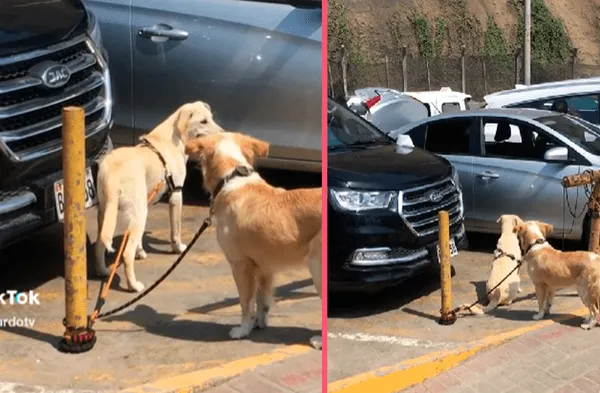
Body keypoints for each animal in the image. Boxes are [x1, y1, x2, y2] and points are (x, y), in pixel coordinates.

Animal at [95, 101, 224, 290]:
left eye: (211, 118)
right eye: (203, 121)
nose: (223, 134)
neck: (173, 139)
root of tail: (112, 172)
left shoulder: (146, 202)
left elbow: (140, 239)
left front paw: (140, 251)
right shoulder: (176, 195)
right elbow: (176, 230)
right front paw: (178, 248)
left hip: (108, 213)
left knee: (99, 244)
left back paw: (103, 271)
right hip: (138, 213)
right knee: (126, 254)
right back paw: (133, 286)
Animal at [185, 132, 324, 344]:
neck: (232, 177)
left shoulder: (240, 265)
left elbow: (246, 303)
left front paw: (243, 329)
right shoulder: (265, 267)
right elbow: (262, 300)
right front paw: (260, 323)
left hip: (316, 266)